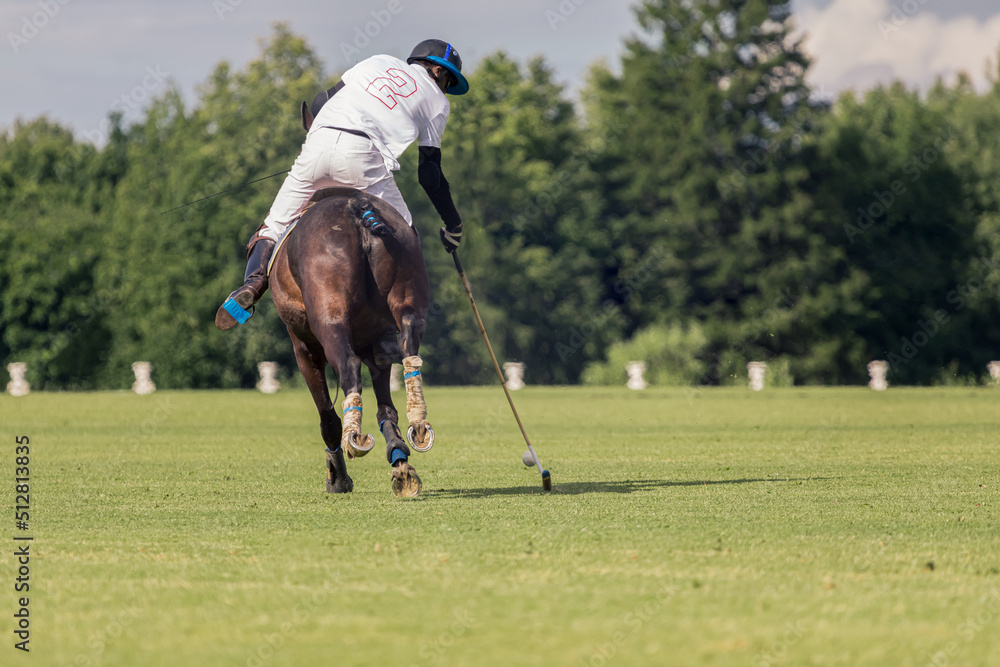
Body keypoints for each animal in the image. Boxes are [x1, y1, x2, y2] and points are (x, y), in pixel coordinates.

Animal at [268, 187, 435, 497]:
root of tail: (358, 209)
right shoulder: (376, 342)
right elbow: (386, 407)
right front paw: (398, 457)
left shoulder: (303, 347)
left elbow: (327, 417)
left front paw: (337, 476)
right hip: (407, 289)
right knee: (409, 348)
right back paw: (416, 426)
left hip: (329, 319)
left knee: (348, 368)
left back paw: (353, 439)